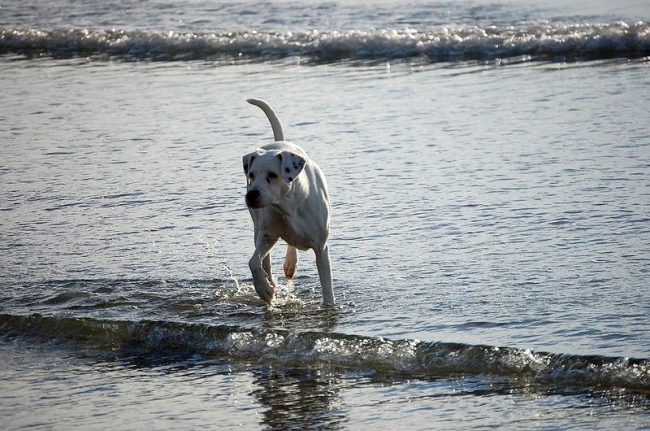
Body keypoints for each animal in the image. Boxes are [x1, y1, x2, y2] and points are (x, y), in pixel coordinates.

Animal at [242, 99, 334, 306]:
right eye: (251, 175)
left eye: (272, 175)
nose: (251, 195)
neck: (288, 207)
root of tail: (278, 142)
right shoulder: (267, 236)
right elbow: (253, 262)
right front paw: (265, 289)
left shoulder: (321, 248)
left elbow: (327, 288)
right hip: (258, 229)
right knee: (264, 261)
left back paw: (290, 263)